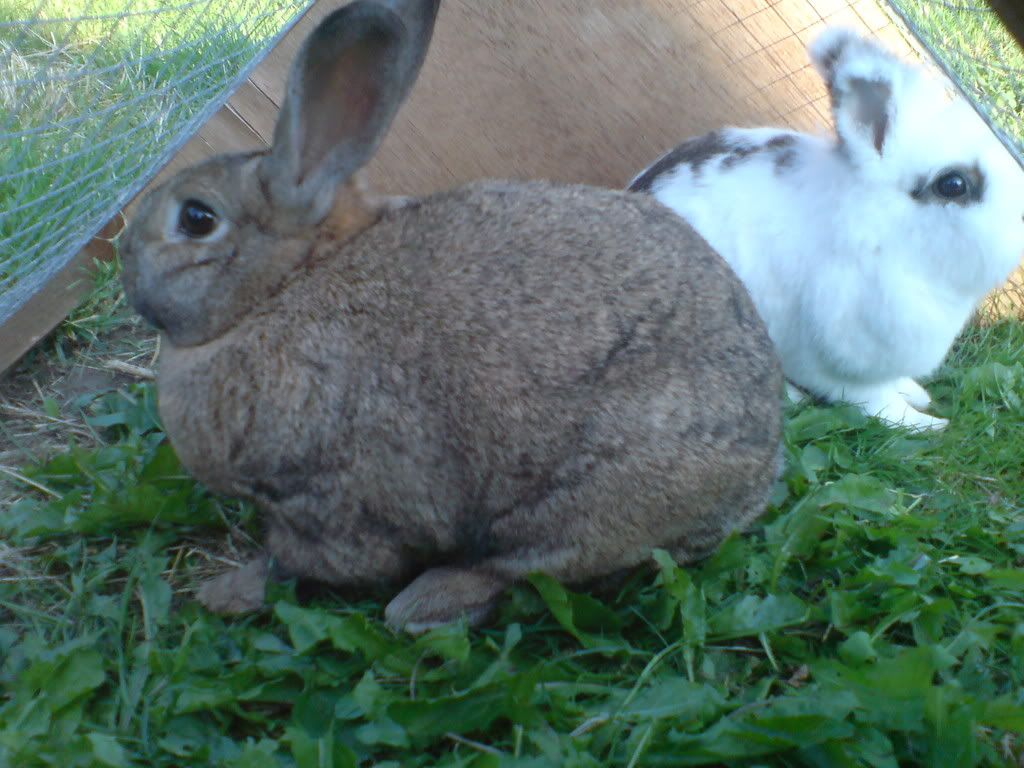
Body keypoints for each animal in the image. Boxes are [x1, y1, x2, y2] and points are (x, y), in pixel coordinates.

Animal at [119, 0, 783, 634]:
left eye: (196, 219)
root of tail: (757, 474)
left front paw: (223, 595)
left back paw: (422, 607)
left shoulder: (325, 508)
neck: (282, 288)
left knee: (516, 568)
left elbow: (303, 564)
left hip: (578, 506)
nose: (124, 251)